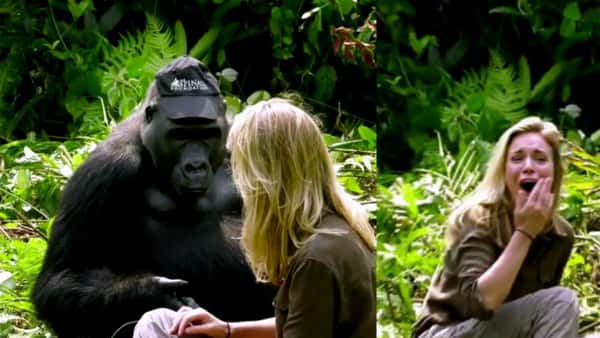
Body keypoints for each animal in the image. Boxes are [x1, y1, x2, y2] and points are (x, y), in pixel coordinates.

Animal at [31, 56, 276, 338]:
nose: (195, 166)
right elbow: (61, 279)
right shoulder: (106, 167)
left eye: (206, 133)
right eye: (180, 136)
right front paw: (150, 292)